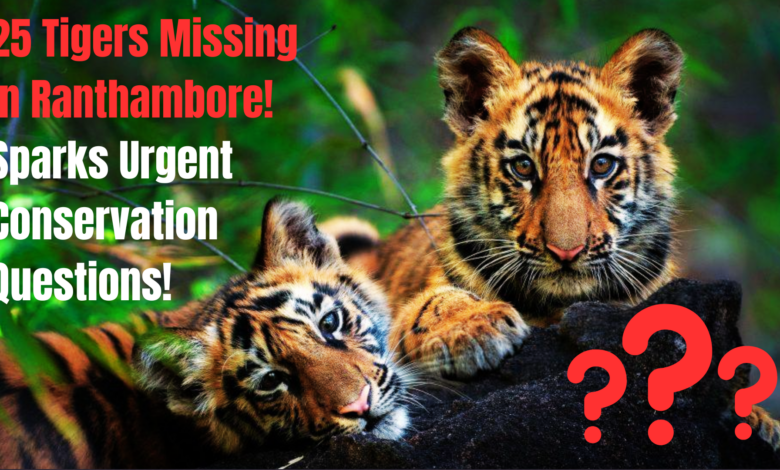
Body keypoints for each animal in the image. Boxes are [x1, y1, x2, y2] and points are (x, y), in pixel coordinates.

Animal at [325, 27, 780, 448]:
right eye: (523, 167)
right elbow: (435, 301)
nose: (567, 250)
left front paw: (758, 419)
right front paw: (473, 330)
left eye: (601, 165)